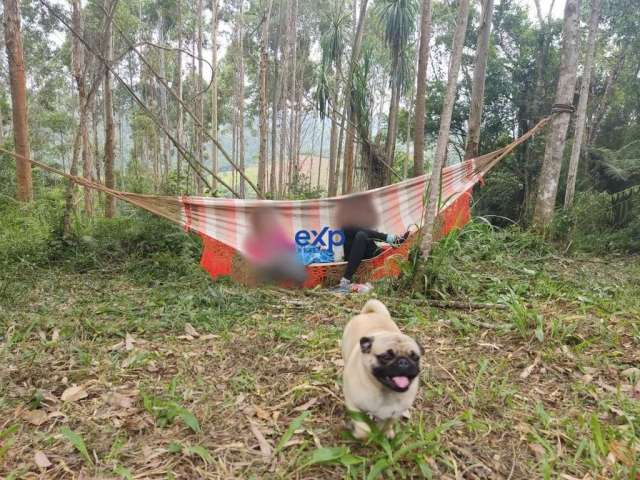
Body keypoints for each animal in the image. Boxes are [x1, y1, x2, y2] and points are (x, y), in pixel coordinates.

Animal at [342, 300, 422, 438]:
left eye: (415, 358)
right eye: (386, 357)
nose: (403, 362)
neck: (386, 392)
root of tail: (370, 314)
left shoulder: (395, 413)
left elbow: (387, 424)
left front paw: (385, 433)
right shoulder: (353, 405)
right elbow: (363, 430)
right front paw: (358, 433)